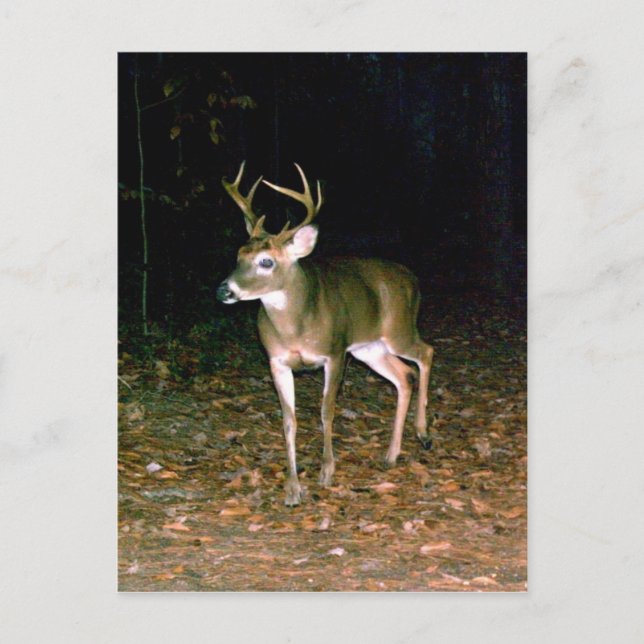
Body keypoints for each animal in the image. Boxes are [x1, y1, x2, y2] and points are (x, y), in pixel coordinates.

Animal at [216, 162, 434, 506]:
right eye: (238, 255)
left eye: (266, 261)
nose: (224, 290)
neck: (296, 326)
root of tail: (412, 278)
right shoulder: (276, 360)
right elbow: (288, 419)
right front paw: (292, 488)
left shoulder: (335, 351)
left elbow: (326, 410)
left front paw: (327, 471)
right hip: (369, 348)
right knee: (404, 376)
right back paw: (391, 455)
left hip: (399, 329)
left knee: (425, 353)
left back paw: (423, 434)